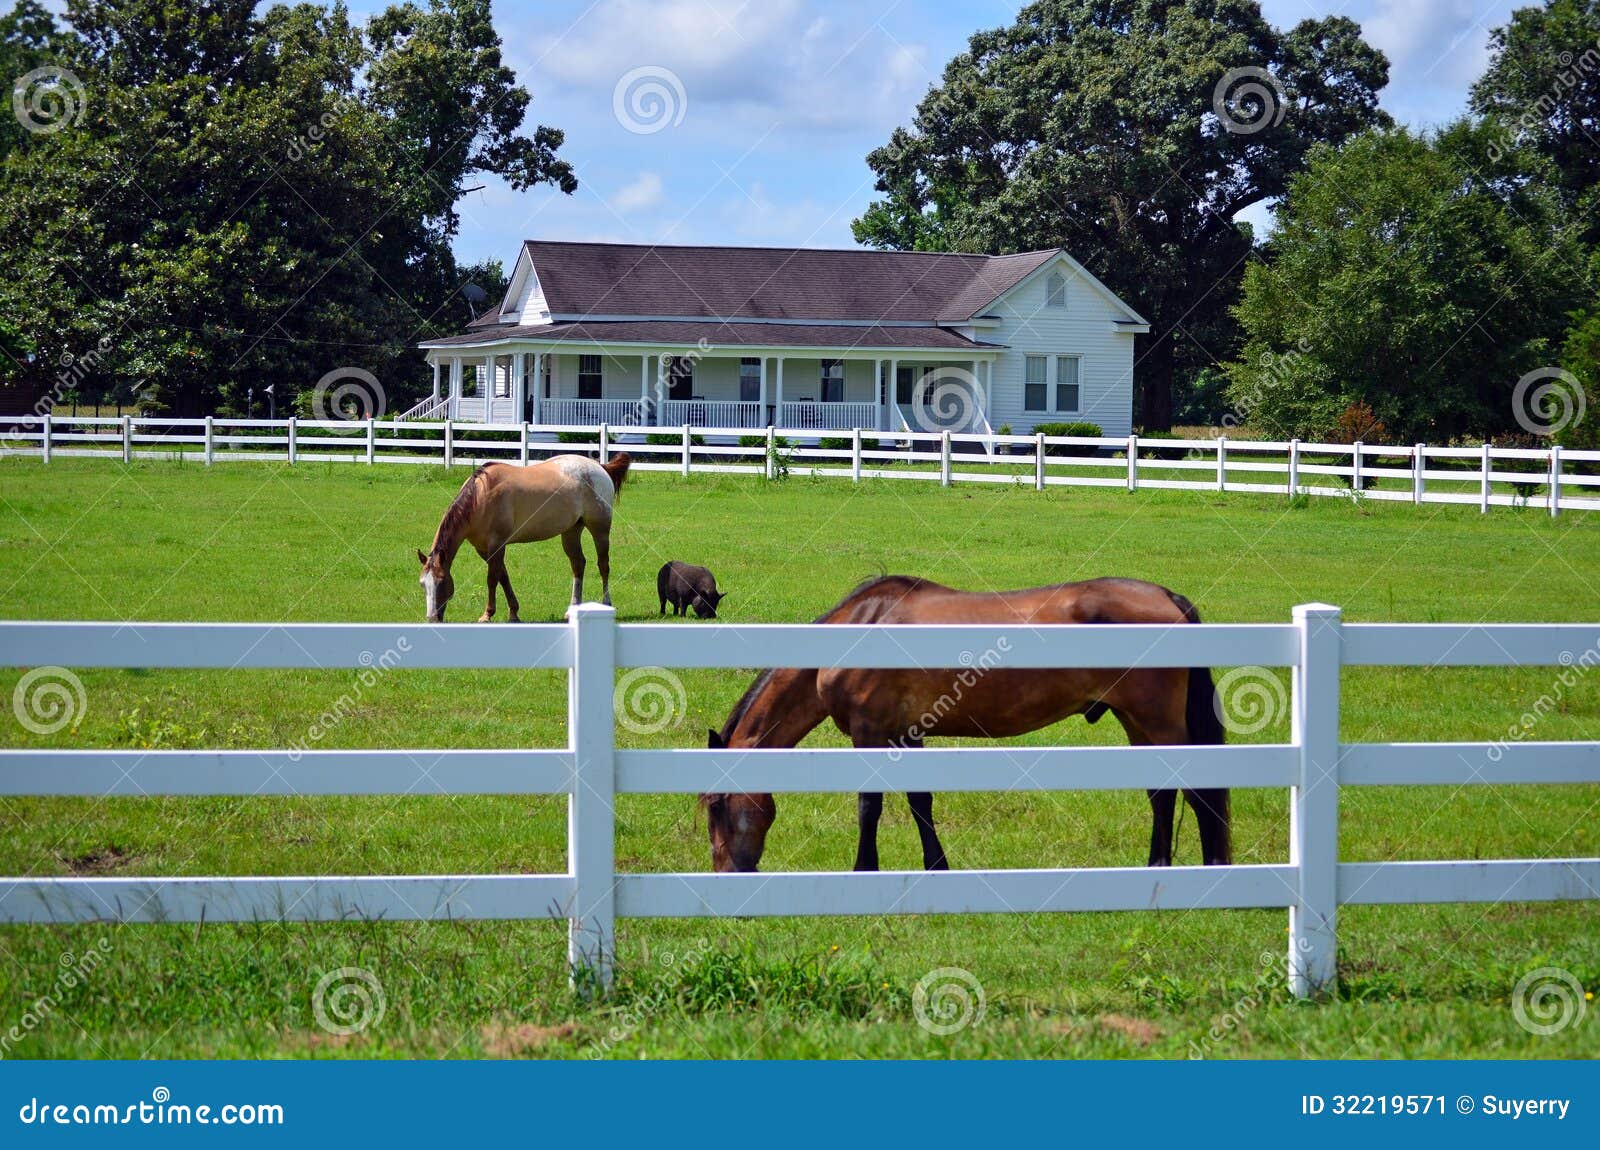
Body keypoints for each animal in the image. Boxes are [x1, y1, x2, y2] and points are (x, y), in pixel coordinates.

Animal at [412, 457, 630, 623]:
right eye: (423, 584)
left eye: (441, 582)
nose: (432, 618)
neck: (481, 496)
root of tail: (599, 467)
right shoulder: (484, 549)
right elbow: (503, 577)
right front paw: (513, 613)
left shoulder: (497, 544)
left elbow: (492, 578)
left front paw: (487, 614)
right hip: (571, 531)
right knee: (578, 565)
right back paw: (572, 608)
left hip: (600, 529)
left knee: (603, 565)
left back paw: (606, 603)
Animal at [704, 575, 1235, 870]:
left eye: (713, 805)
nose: (727, 873)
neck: (857, 630)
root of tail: (1167, 597)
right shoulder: (905, 733)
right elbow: (920, 802)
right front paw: (936, 865)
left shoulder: (870, 734)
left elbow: (869, 808)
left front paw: (864, 869)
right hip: (1135, 721)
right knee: (1162, 794)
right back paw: (1156, 864)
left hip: (1157, 722)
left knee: (1195, 793)